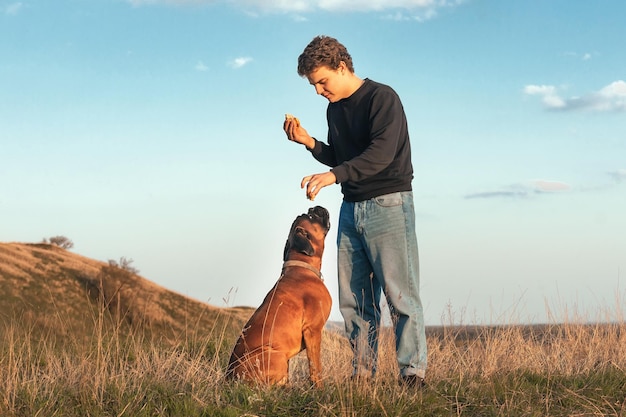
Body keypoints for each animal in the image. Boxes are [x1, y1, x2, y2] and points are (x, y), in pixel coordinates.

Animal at [225, 206, 332, 386]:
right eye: (311, 216)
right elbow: (316, 368)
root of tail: (229, 377)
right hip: (276, 355)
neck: (302, 265)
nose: (315, 207)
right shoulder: (313, 331)